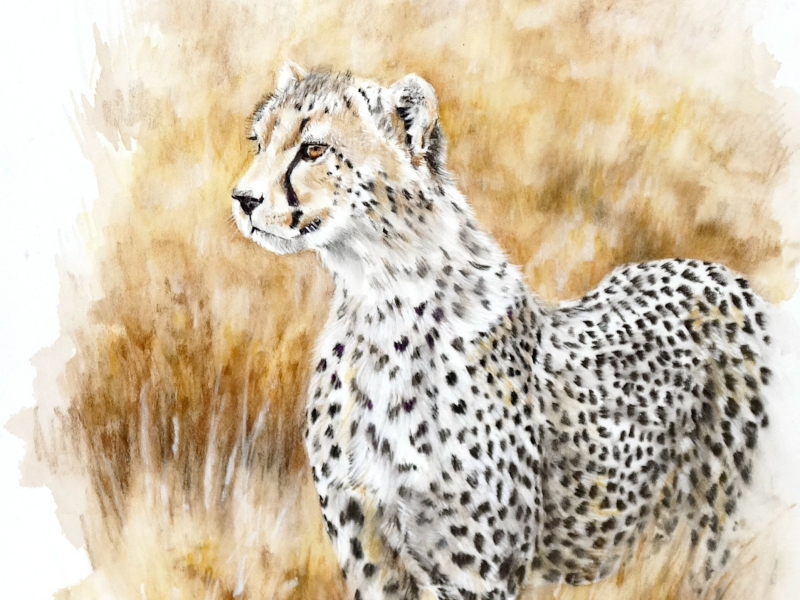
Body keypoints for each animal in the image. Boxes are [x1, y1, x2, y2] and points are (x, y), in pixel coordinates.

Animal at [231, 63, 773, 600]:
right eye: (259, 142)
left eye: (313, 149)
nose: (243, 199)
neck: (379, 300)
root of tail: (721, 274)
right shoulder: (370, 556)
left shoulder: (475, 576)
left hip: (715, 528)